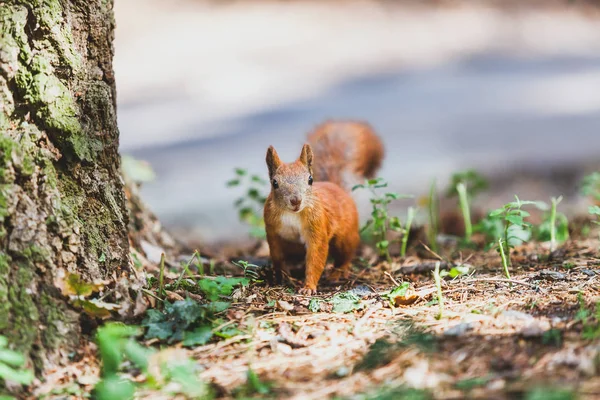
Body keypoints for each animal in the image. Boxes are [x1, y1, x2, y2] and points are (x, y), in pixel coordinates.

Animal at [262, 119, 384, 294]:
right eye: (275, 183)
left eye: (310, 180)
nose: (296, 201)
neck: (293, 214)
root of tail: (337, 187)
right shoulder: (272, 231)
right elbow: (277, 256)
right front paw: (282, 277)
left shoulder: (317, 226)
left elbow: (316, 256)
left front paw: (308, 287)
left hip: (345, 237)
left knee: (345, 255)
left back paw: (337, 273)